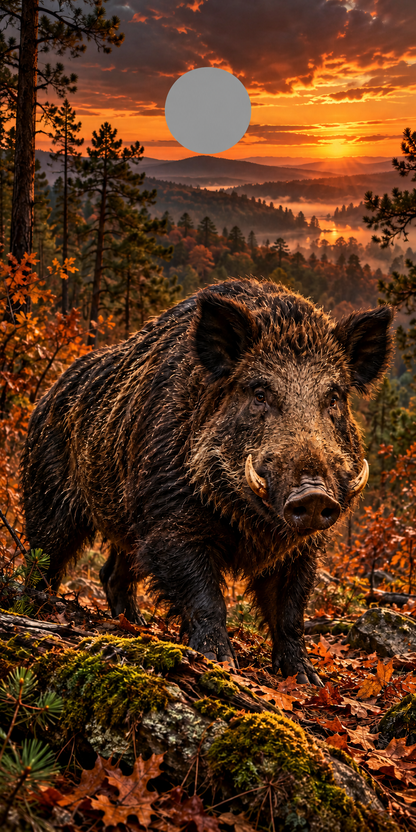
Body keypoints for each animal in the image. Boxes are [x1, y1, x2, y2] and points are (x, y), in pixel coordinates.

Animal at [21, 278, 393, 685]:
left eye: (335, 398)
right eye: (259, 393)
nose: (313, 494)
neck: (252, 526)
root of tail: (45, 398)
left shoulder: (304, 549)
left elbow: (291, 611)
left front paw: (306, 679)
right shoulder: (171, 520)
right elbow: (206, 598)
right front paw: (219, 663)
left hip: (127, 525)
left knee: (112, 573)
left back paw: (137, 626)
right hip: (47, 496)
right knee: (43, 558)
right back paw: (32, 609)